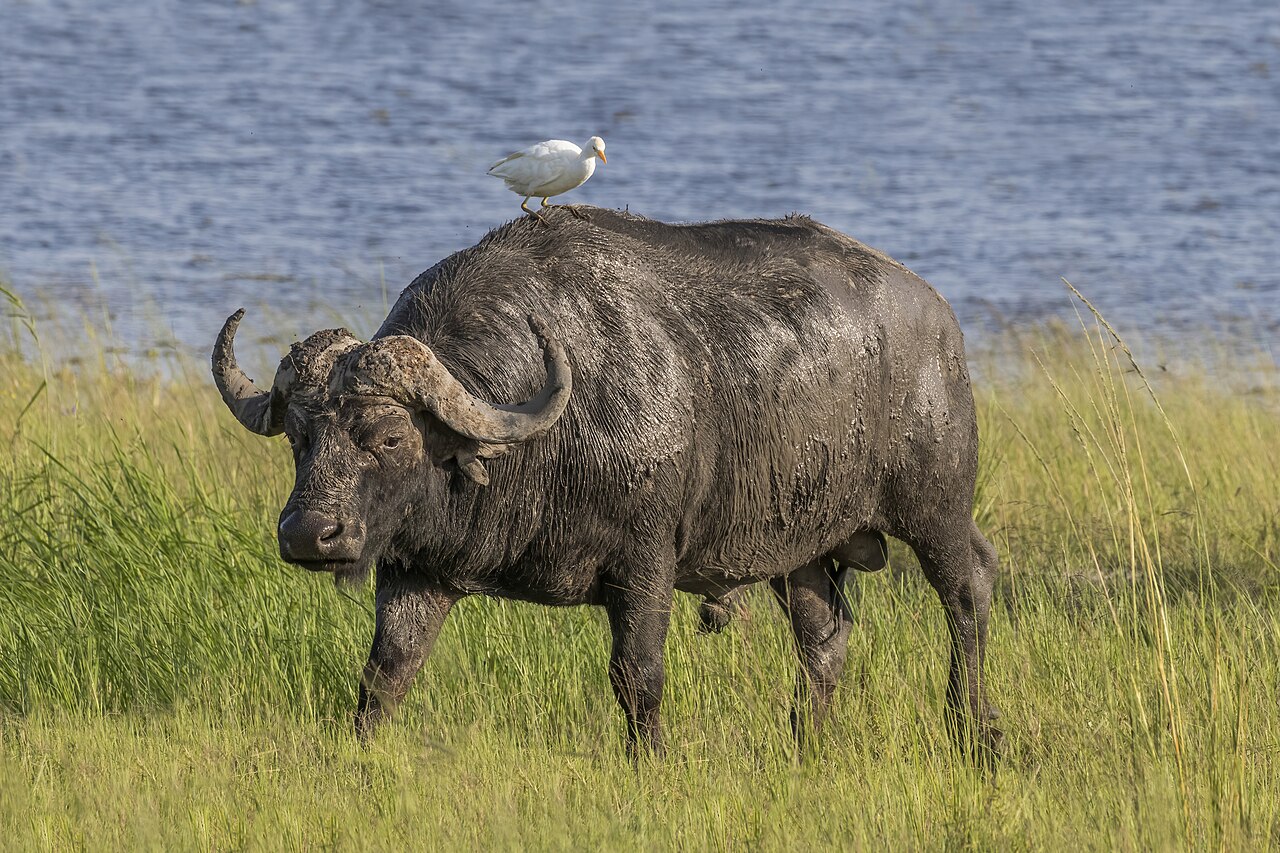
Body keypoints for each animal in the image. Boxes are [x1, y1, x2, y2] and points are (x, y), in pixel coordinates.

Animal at [212, 206, 1003, 759]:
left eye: (388, 436)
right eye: (300, 437)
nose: (309, 535)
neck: (542, 441)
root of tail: (938, 317)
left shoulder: (645, 563)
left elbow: (637, 674)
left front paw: (649, 759)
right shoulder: (417, 570)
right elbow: (386, 672)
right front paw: (358, 753)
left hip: (935, 508)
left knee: (968, 595)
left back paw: (975, 731)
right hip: (798, 549)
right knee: (824, 637)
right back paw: (805, 741)